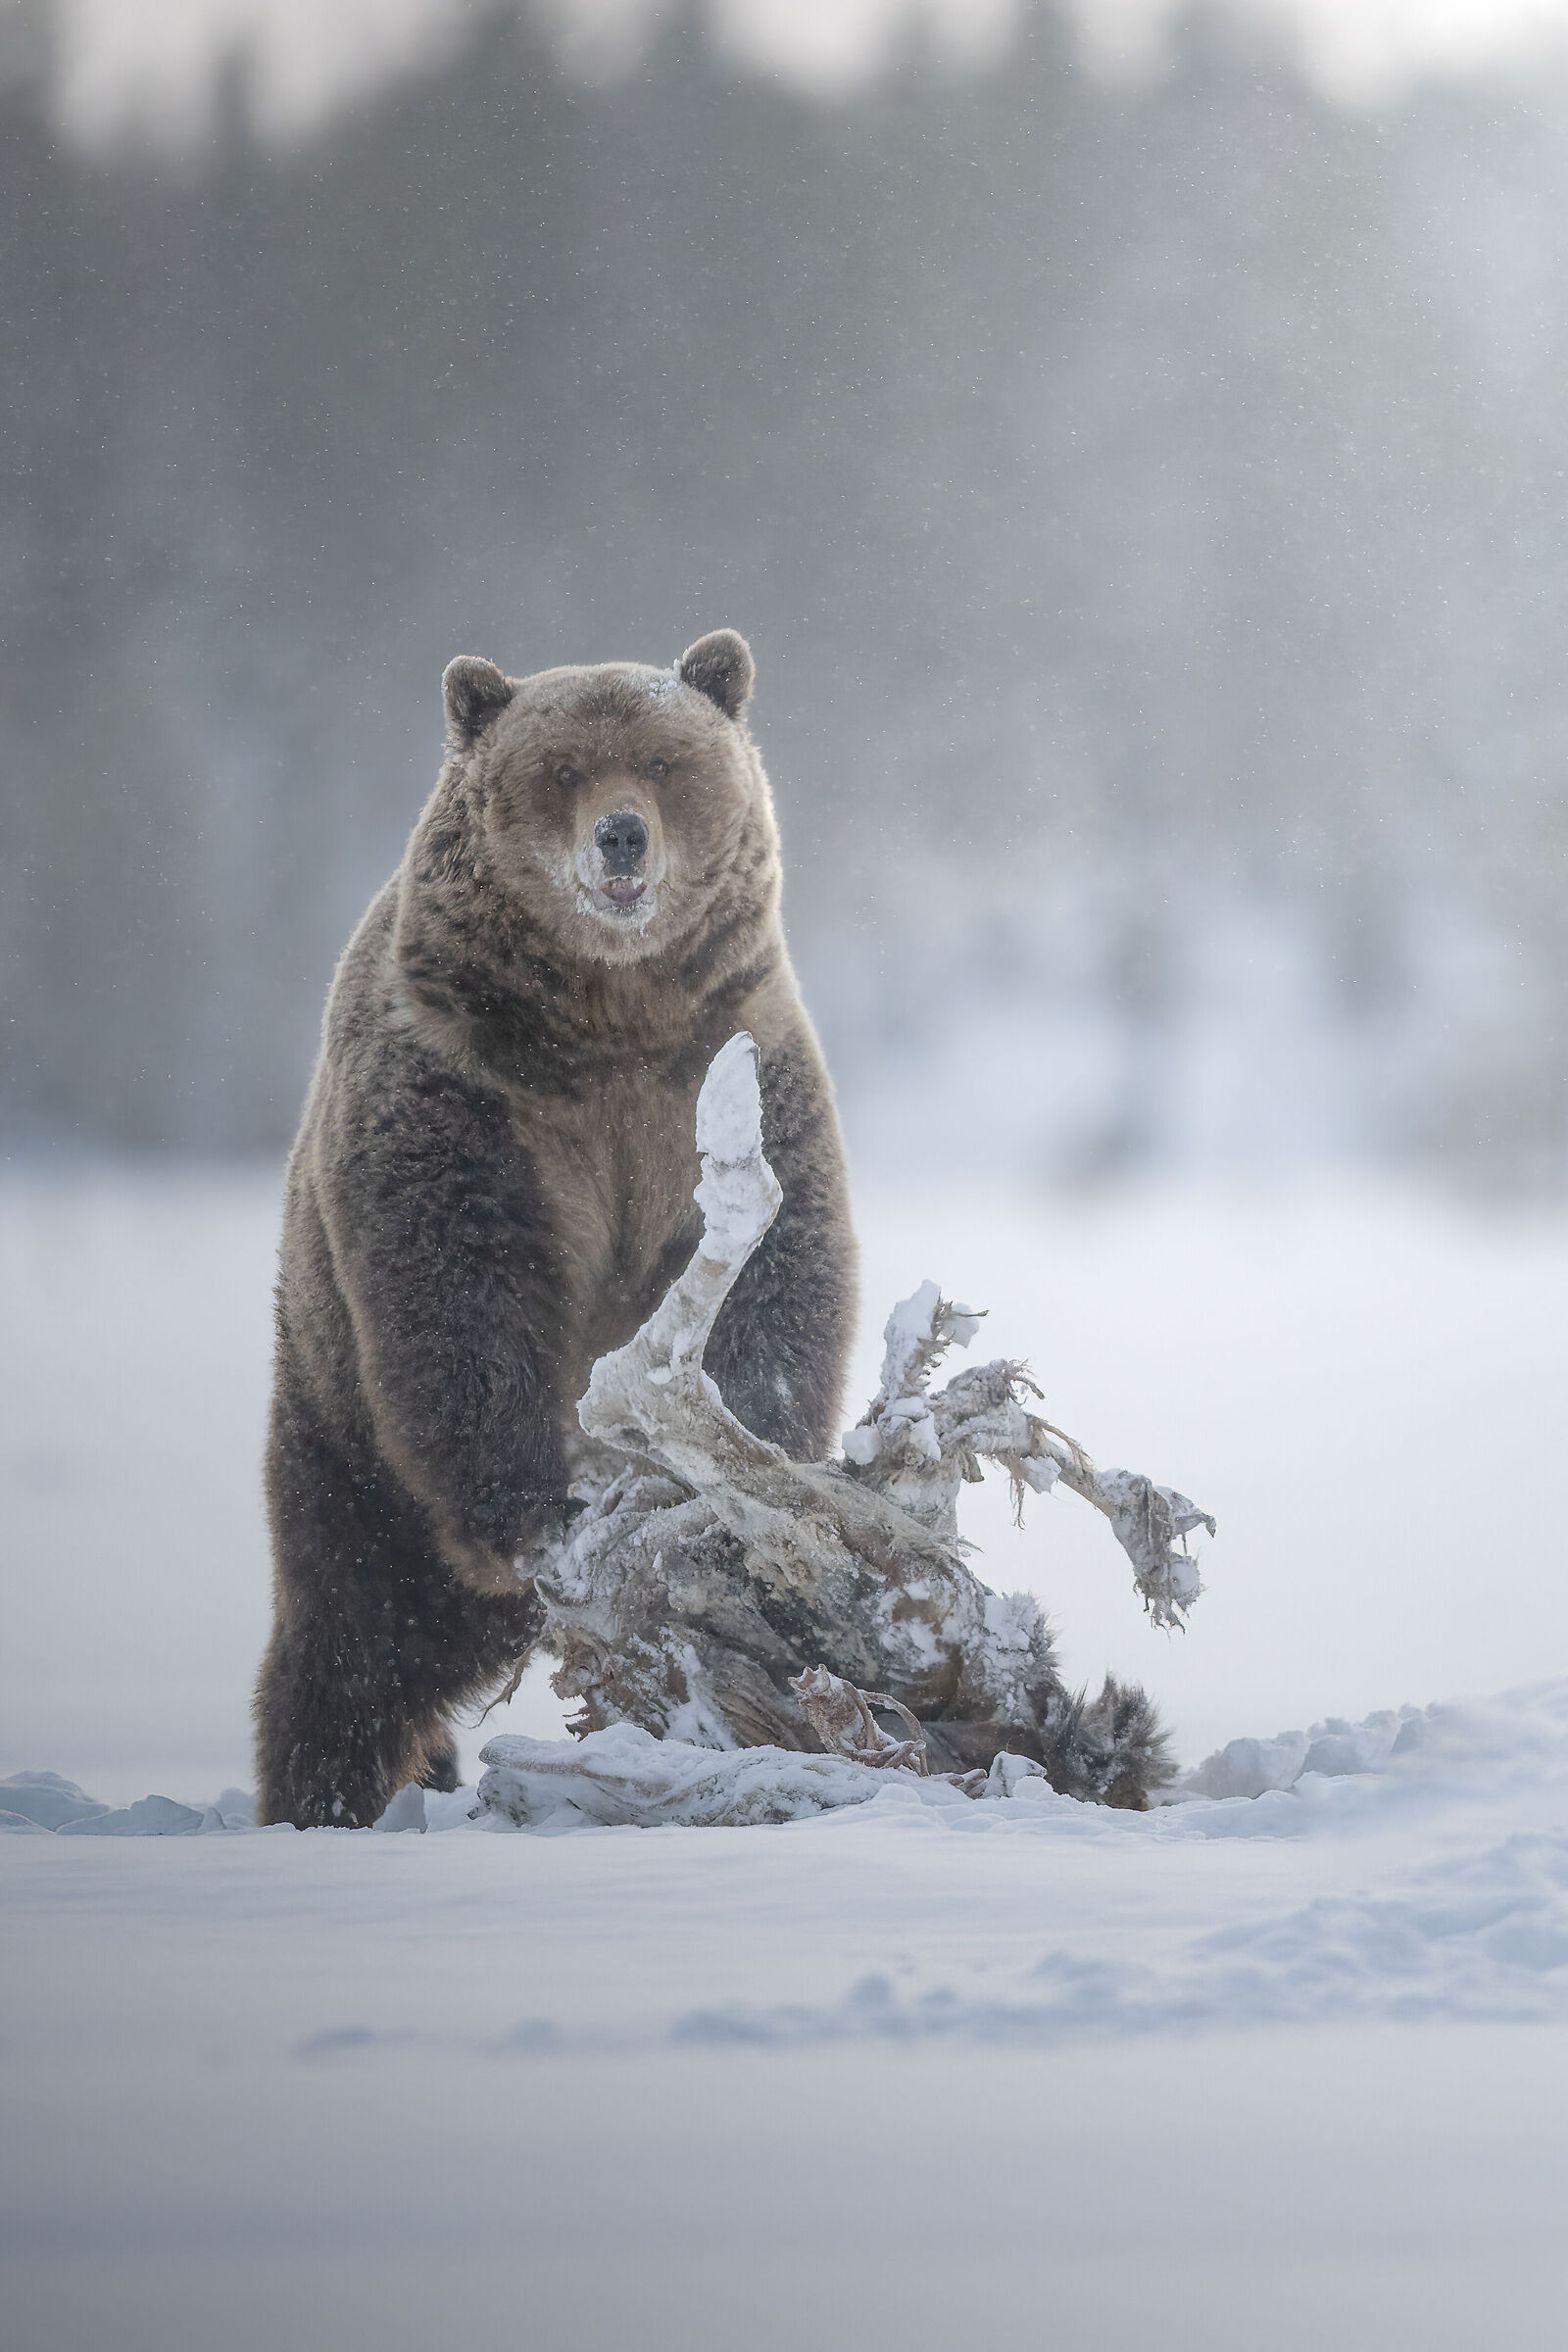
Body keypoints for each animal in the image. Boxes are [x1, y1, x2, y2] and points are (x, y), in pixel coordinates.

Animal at [255, 630, 857, 1828]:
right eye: (564, 767)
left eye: (666, 762)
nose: (622, 833)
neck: (607, 1015)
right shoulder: (466, 1094)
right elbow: (460, 1292)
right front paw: (544, 1503)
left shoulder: (728, 1066)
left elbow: (776, 1274)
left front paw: (744, 1469)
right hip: (343, 1433)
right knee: (349, 1637)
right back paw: (328, 1791)